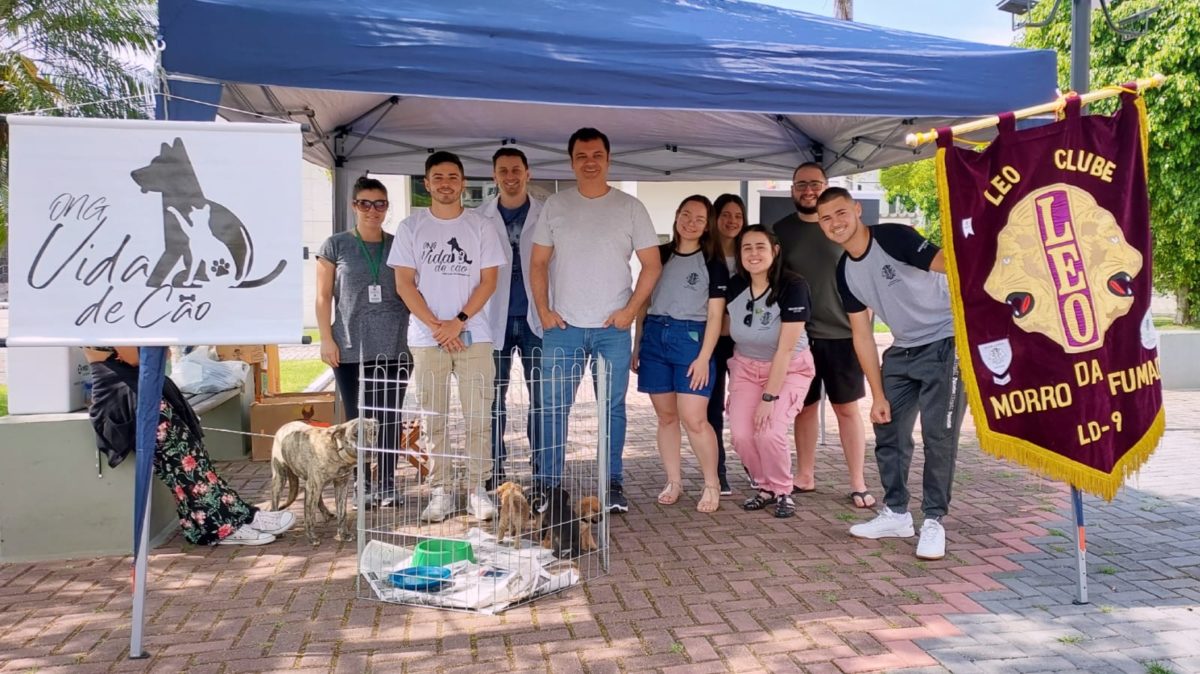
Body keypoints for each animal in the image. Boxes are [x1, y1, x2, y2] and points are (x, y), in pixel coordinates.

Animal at [270, 414, 376, 546]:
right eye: (355, 434)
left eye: (374, 432)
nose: (370, 452)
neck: (337, 449)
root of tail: (284, 426)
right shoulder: (313, 486)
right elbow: (310, 515)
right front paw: (311, 537)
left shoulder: (341, 484)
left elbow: (342, 513)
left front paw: (343, 534)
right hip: (280, 477)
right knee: (275, 501)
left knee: (319, 498)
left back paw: (327, 514)